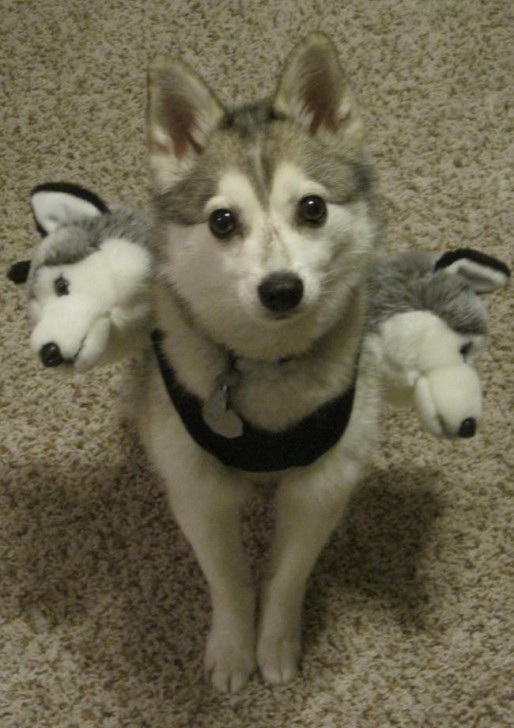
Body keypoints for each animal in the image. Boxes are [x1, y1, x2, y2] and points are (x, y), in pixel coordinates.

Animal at [134, 33, 383, 692]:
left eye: (313, 208)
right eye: (222, 220)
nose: (282, 290)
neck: (267, 366)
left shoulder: (322, 483)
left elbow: (289, 574)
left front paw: (275, 641)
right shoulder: (197, 485)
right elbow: (226, 577)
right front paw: (231, 647)